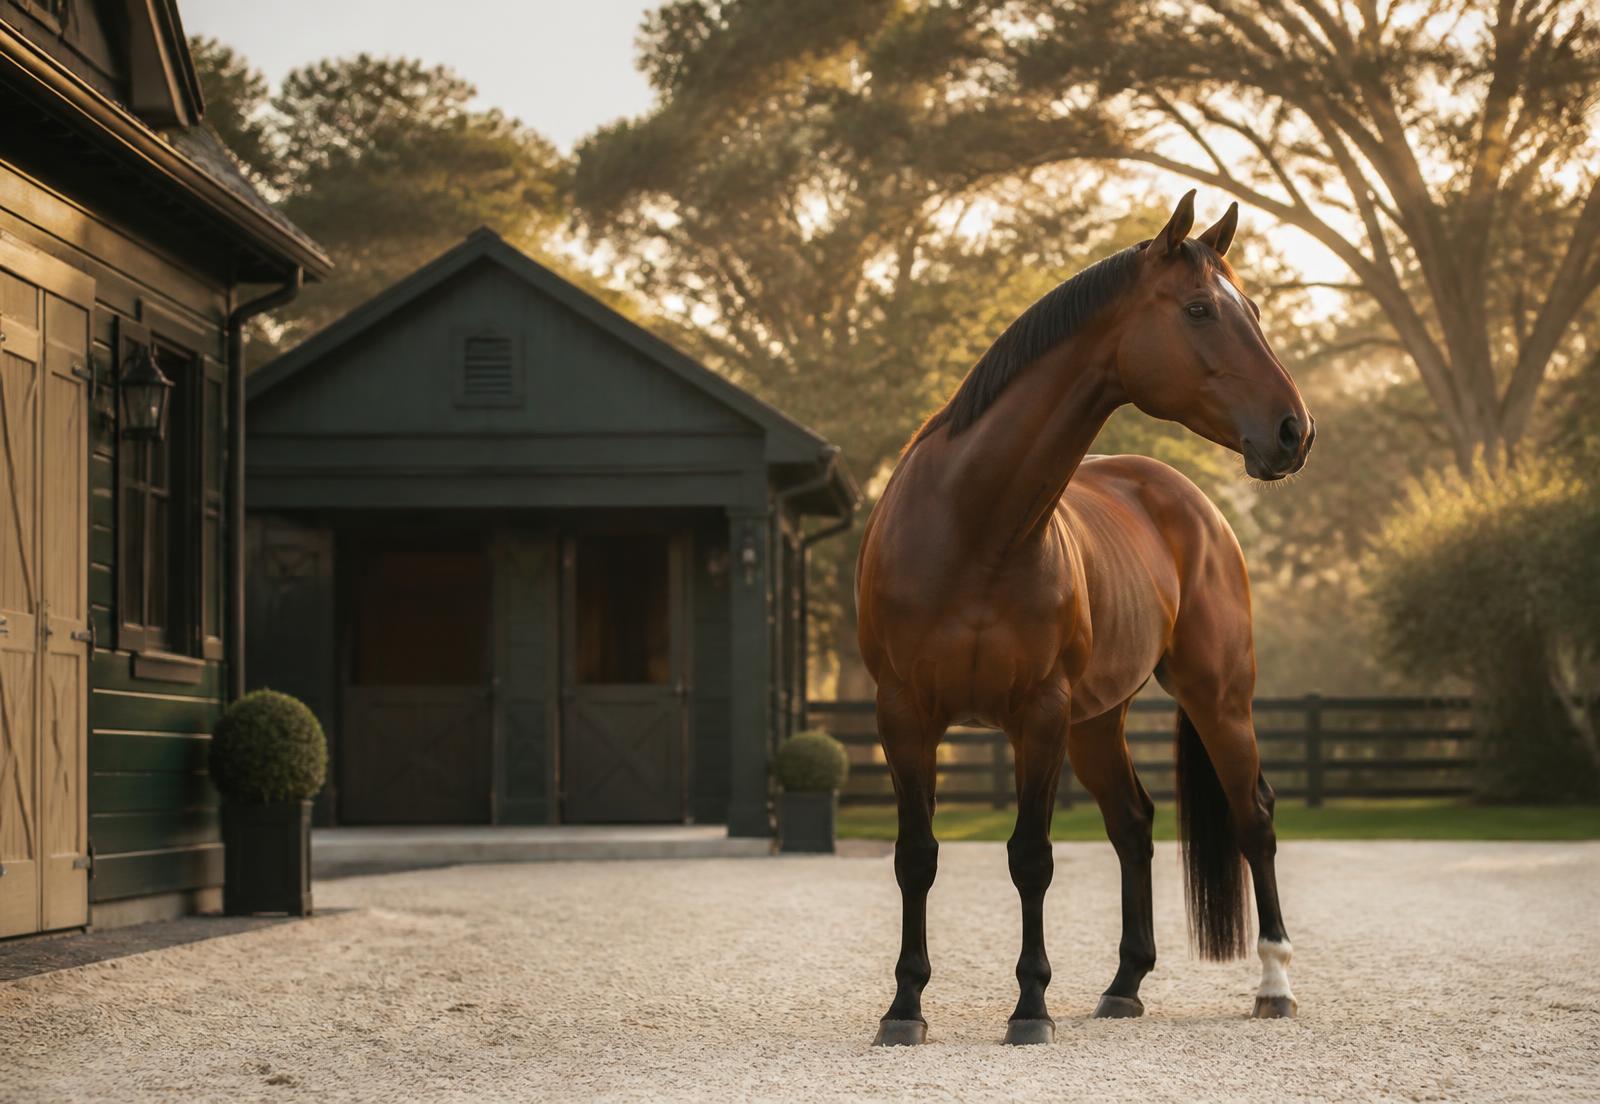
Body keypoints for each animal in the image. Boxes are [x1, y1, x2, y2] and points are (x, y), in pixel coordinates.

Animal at [855, 192, 1314, 1046]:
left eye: (1256, 311)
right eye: (1199, 309)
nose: (1293, 432)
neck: (970, 525)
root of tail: (1188, 501)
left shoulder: (1038, 714)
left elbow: (1031, 857)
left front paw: (1030, 1009)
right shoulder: (903, 714)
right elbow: (915, 856)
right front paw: (903, 1009)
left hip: (1216, 699)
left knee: (1254, 819)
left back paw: (1274, 984)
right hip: (1098, 723)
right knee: (1133, 824)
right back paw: (1124, 984)